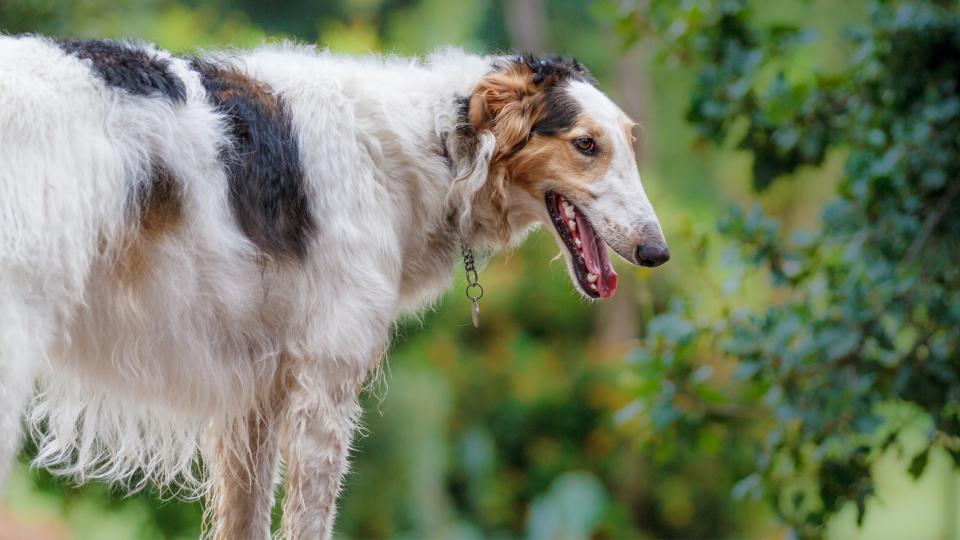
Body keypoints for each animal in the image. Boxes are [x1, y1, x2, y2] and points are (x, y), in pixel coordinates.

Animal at [0, 35, 672, 536]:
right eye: (585, 145)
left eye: (631, 143)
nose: (657, 252)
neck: (435, 145)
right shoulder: (324, 381)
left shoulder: (256, 399)